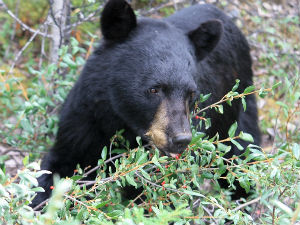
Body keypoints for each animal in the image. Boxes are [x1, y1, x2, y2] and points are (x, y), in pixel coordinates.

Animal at [31, 0, 260, 207]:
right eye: (154, 89)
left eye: (191, 93)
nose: (181, 139)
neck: (122, 122)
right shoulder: (85, 119)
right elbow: (58, 167)